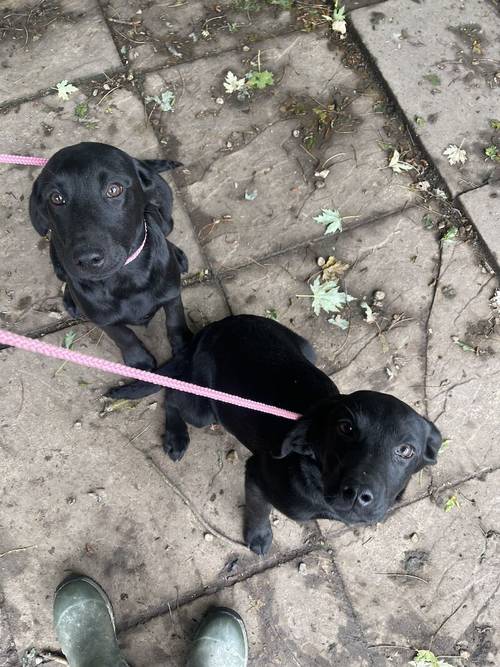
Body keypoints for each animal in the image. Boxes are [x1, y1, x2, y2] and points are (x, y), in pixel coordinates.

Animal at [29, 142, 191, 370]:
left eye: (114, 189)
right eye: (56, 198)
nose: (87, 259)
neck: (125, 277)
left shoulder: (172, 294)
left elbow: (175, 319)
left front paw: (184, 346)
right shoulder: (102, 318)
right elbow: (122, 335)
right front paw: (138, 360)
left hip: (166, 220)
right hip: (57, 261)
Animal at [108, 316, 442, 556]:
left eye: (406, 450)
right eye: (345, 428)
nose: (358, 495)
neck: (314, 473)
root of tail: (216, 326)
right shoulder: (256, 475)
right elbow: (259, 510)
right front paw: (258, 536)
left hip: (306, 349)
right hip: (205, 410)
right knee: (172, 394)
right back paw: (176, 436)